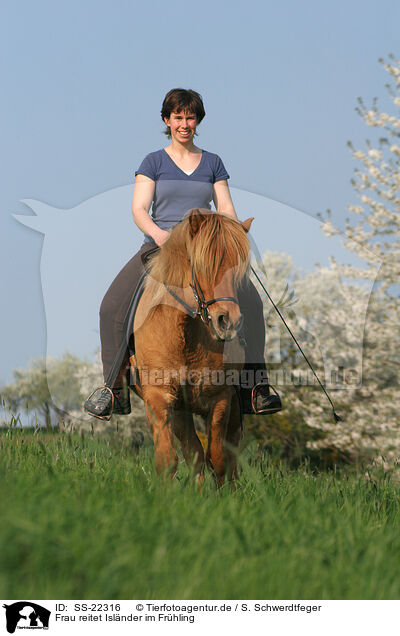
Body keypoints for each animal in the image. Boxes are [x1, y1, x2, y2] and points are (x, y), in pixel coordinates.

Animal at [134, 209, 253, 482]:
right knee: (194, 454)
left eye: (239, 271)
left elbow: (219, 460)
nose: (228, 322)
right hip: (181, 411)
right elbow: (168, 460)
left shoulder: (220, 398)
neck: (184, 334)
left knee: (227, 454)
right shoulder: (159, 396)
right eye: (202, 266)